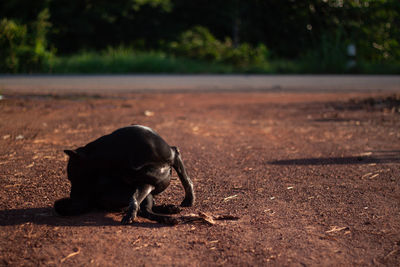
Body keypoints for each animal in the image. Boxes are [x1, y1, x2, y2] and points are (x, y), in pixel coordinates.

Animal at [54, 125, 195, 224]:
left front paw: (189, 200)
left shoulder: (174, 155)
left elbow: (186, 180)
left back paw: (169, 210)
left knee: (146, 208)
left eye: (72, 177)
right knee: (145, 210)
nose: (72, 197)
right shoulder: (143, 183)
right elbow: (135, 199)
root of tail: (93, 200)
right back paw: (167, 217)